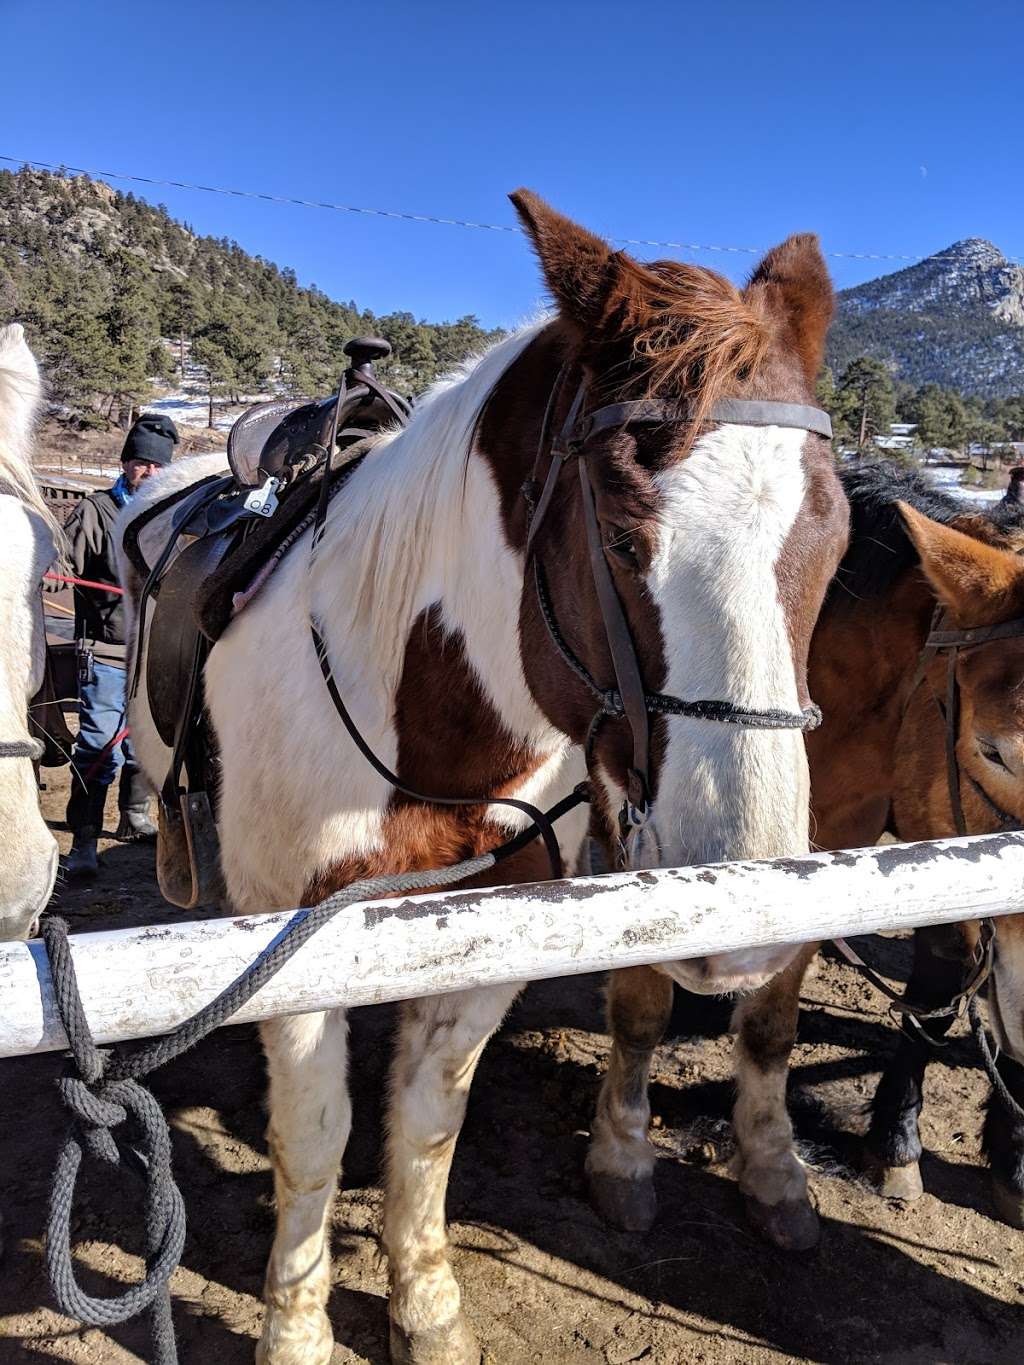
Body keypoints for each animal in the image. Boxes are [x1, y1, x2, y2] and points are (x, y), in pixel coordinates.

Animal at [118, 195, 851, 1365]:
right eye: (619, 527)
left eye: (838, 531)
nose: (748, 923)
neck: (427, 731)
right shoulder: (297, 962)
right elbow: (312, 1143)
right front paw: (296, 1329)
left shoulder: (488, 949)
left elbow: (426, 1128)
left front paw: (426, 1308)